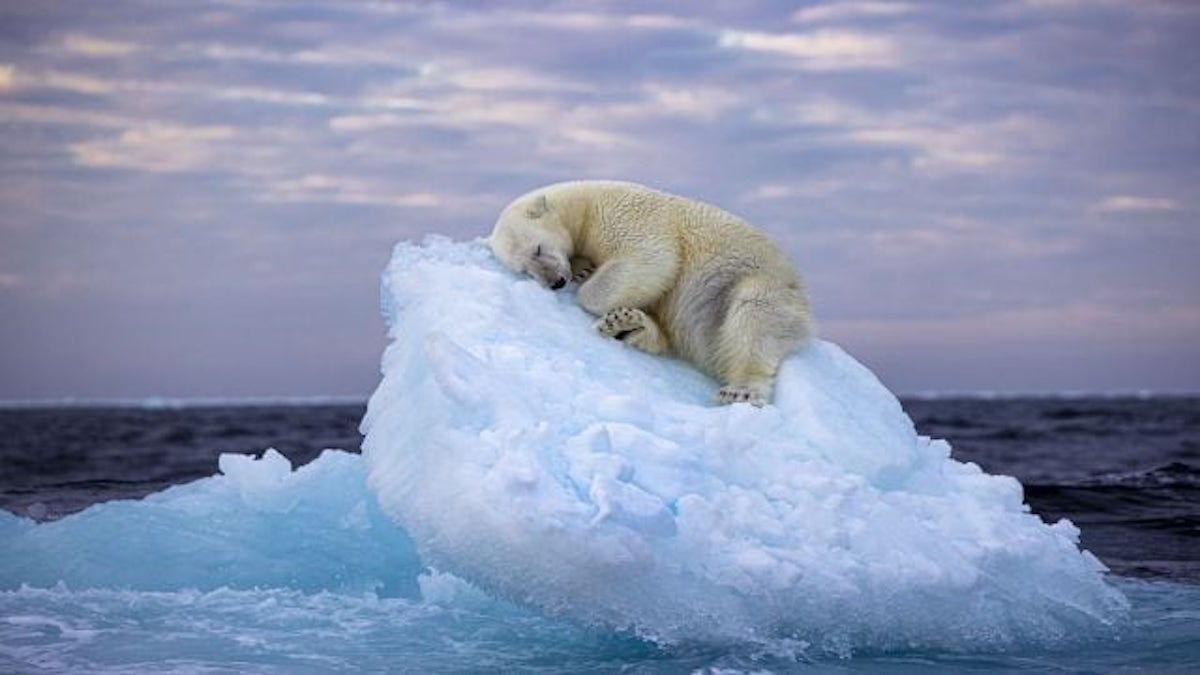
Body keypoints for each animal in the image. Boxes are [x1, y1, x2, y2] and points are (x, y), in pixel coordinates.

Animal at [489, 180, 814, 406]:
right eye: (523, 269)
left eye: (538, 248)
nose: (556, 281)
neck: (584, 204)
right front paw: (583, 269)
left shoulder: (624, 216)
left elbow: (652, 258)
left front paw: (587, 283)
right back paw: (625, 324)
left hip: (759, 283)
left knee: (754, 317)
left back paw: (741, 390)